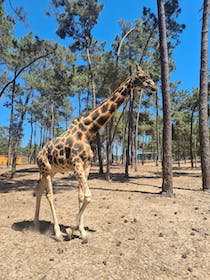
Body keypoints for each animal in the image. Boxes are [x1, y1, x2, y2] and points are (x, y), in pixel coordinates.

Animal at [33, 66, 158, 243]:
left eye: (149, 76)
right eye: (141, 76)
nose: (154, 87)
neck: (88, 131)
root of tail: (37, 154)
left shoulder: (86, 164)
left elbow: (81, 196)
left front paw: (81, 232)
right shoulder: (77, 162)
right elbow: (88, 195)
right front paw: (70, 231)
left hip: (51, 171)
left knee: (38, 190)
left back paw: (36, 225)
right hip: (45, 169)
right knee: (49, 195)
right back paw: (57, 233)